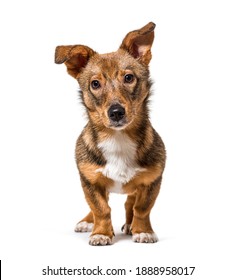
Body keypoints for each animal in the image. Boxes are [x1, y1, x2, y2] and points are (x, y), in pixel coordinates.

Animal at [54, 21, 166, 245]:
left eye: (129, 78)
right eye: (95, 84)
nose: (116, 112)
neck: (118, 138)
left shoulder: (152, 181)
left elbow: (141, 208)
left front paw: (143, 231)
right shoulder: (90, 181)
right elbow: (101, 209)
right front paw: (101, 233)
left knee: (130, 204)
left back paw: (130, 225)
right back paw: (87, 222)